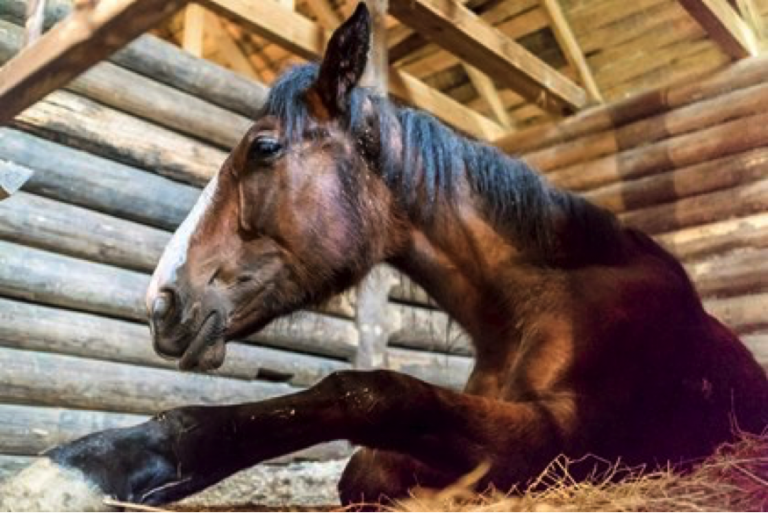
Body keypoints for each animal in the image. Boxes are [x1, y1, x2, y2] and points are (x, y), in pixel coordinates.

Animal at [2, 4, 767, 511]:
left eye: (264, 148)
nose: (162, 302)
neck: (532, 302)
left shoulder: (564, 437)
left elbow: (367, 393)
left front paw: (85, 468)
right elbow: (363, 464)